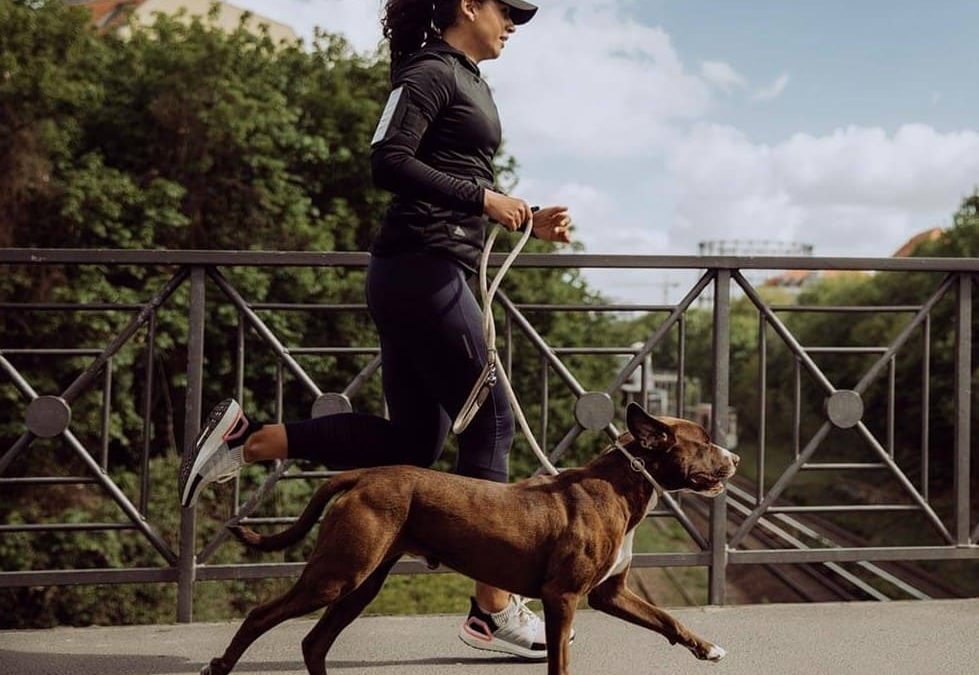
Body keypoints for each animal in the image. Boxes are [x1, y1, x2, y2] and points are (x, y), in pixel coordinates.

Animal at [203, 404, 740, 672]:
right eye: (704, 442)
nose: (734, 458)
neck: (622, 483)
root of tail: (362, 475)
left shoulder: (611, 593)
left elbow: (667, 619)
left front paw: (707, 648)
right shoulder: (562, 597)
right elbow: (560, 662)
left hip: (361, 584)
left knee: (315, 643)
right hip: (337, 576)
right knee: (261, 616)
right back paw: (221, 664)